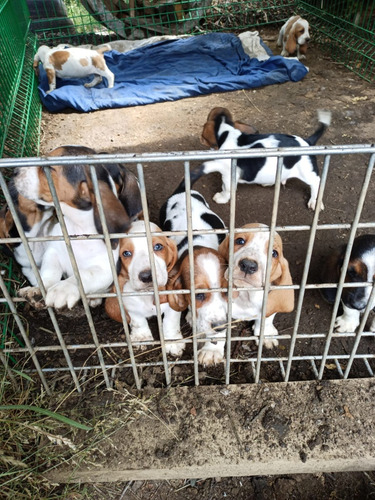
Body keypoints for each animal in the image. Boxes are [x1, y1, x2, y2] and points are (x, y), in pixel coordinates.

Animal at [12, 145, 142, 308]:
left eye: (50, 168)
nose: (15, 171)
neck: (78, 228)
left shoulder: (105, 268)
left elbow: (83, 276)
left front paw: (63, 289)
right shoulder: (53, 252)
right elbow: (49, 273)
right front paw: (37, 290)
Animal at [105, 221, 186, 358]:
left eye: (158, 246)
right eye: (126, 253)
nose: (147, 276)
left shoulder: (173, 304)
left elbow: (170, 321)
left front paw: (173, 342)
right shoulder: (130, 305)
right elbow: (138, 321)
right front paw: (142, 338)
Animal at [159, 178, 229, 366]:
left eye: (226, 292)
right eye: (199, 295)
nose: (220, 326)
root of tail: (183, 190)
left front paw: (212, 350)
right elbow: (171, 316)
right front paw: (173, 342)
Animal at [191, 107, 332, 211]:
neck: (227, 132)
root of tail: (308, 141)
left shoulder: (228, 175)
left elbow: (226, 189)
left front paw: (221, 198)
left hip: (307, 172)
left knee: (316, 182)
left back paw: (314, 201)